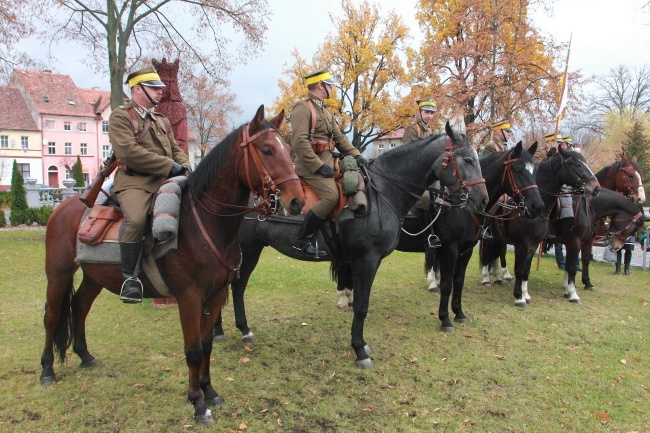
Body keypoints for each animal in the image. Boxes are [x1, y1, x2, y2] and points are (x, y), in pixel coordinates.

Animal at [38, 104, 304, 426]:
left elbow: (207, 344)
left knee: (79, 306)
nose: (297, 201)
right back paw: (47, 370)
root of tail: (65, 206)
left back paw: (85, 356)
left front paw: (210, 391)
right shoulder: (189, 297)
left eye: (287, 149)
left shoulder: (214, 296)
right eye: (267, 150)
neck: (204, 223)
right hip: (58, 273)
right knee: (52, 315)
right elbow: (193, 350)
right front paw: (198, 404)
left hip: (93, 277)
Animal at [213, 122, 486, 368]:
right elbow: (362, 306)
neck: (384, 191)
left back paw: (231, 330)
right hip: (247, 250)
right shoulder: (368, 259)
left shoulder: (369, 261)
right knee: (232, 287)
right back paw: (230, 330)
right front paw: (360, 350)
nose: (482, 200)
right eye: (468, 160)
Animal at [394, 142, 540, 330]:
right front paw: (445, 319)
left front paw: (459, 313)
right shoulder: (450, 250)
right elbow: (447, 284)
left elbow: (459, 282)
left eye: (534, 171)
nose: (537, 205)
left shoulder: (466, 251)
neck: (462, 206)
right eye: (518, 169)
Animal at [476, 148, 596, 304]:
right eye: (575, 164)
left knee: (495, 255)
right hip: (489, 239)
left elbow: (526, 269)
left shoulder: (535, 244)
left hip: (499, 239)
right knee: (486, 254)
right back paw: (486, 278)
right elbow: (521, 269)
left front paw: (525, 294)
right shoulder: (526, 243)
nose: (595, 187)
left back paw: (497, 277)